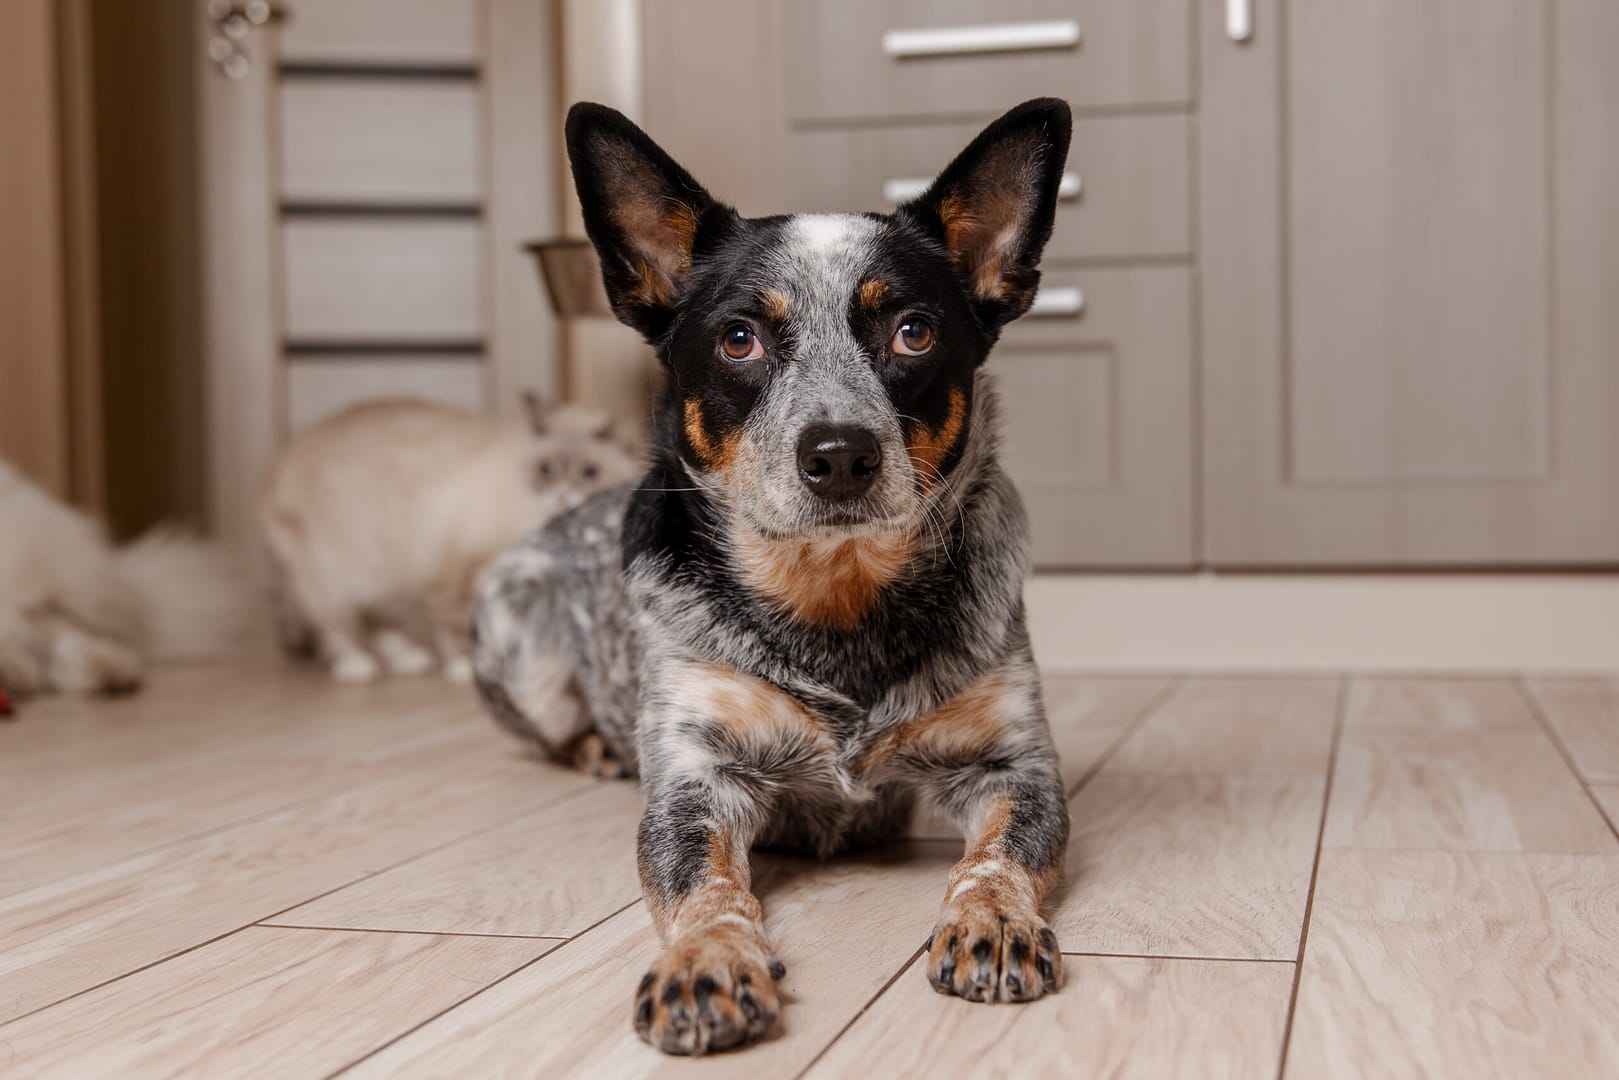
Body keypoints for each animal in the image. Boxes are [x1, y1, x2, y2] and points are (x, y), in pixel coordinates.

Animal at [260, 396, 637, 683]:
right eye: (546, 470)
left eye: (590, 473)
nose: (562, 497)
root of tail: (279, 464)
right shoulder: (456, 569)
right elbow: (455, 623)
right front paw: (464, 670)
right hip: (339, 575)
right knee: (331, 624)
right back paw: (356, 665)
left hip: (385, 579)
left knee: (378, 620)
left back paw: (408, 659)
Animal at [469, 97, 1075, 1049]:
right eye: (738, 338)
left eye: (912, 331)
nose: (839, 454)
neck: (833, 601)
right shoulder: (694, 778)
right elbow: (706, 888)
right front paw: (705, 962)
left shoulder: (1015, 764)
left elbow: (993, 860)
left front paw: (994, 919)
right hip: (521, 631)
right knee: (551, 728)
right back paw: (597, 749)